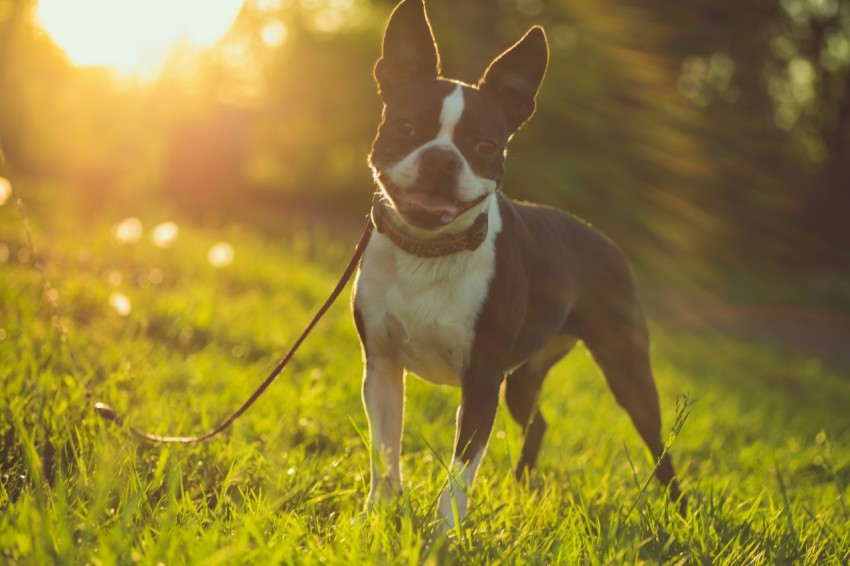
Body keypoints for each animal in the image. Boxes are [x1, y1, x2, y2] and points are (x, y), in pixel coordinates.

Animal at [352, 0, 684, 532]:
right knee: (541, 420)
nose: (442, 158)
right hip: (524, 379)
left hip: (626, 370)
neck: (428, 252)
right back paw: (523, 483)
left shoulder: (482, 380)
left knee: (659, 446)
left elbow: (459, 472)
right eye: (404, 128)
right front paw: (377, 517)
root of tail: (608, 242)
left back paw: (680, 510)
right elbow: (385, 453)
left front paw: (444, 535)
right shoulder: (381, 368)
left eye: (485, 146)